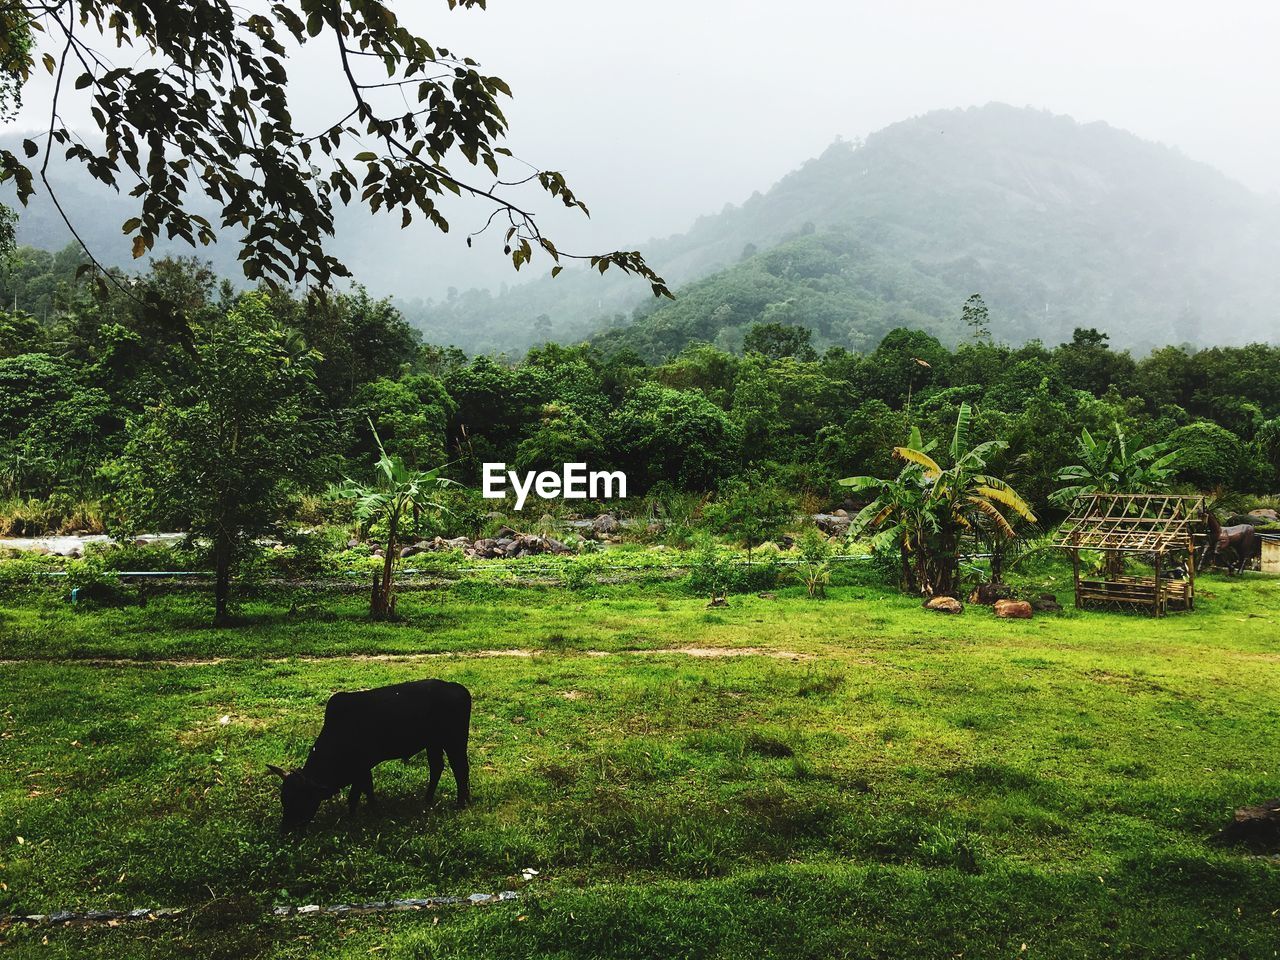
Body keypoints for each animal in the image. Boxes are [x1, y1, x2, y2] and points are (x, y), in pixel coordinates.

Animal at [267, 680, 473, 829]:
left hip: (455, 741)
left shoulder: (362, 767)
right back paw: (428, 800)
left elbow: (357, 794)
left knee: (460, 769)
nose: (286, 829)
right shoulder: (361, 770)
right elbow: (367, 790)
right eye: (284, 799)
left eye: (300, 799)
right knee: (437, 767)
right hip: (433, 743)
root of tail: (458, 688)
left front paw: (354, 816)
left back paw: (461, 803)